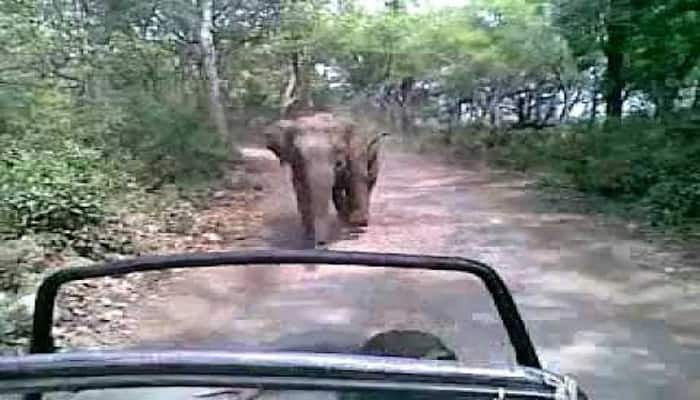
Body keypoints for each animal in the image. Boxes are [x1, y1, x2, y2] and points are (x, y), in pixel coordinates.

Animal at [266, 111, 392, 245]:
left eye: (338, 150)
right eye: (298, 152)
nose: (321, 243)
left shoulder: (357, 153)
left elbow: (356, 179)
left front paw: (358, 223)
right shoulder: (296, 165)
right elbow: (301, 188)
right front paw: (308, 233)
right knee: (336, 191)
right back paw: (343, 216)